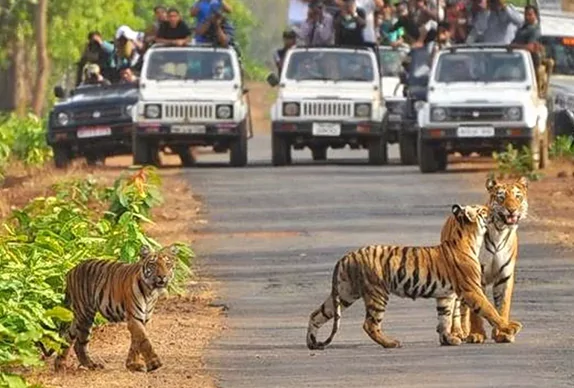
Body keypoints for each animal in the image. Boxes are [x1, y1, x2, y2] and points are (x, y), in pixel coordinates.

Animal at [308, 205, 524, 350]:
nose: (494, 209)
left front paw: (448, 339)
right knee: (370, 324)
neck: (469, 238)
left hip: (345, 293)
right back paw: (391, 343)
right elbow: (490, 310)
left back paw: (311, 342)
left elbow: (444, 318)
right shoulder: (472, 290)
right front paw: (510, 327)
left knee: (317, 314)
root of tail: (347, 256)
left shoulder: (445, 295)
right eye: (483, 210)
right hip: (377, 293)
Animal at [446, 176, 532, 342]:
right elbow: (477, 310)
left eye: (517, 197)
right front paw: (476, 334)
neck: (500, 231)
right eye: (501, 197)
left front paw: (502, 333)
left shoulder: (505, 276)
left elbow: (502, 306)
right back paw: (458, 332)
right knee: (457, 307)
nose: (512, 209)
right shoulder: (475, 276)